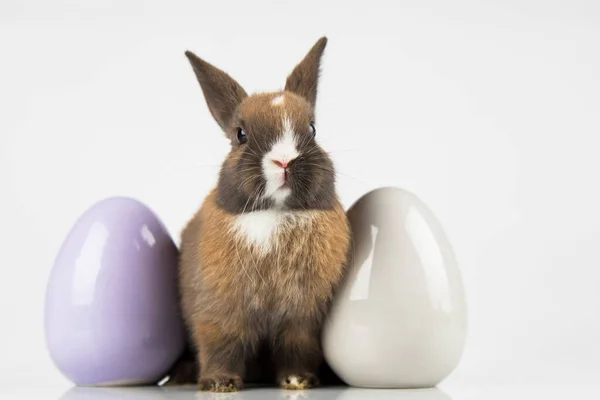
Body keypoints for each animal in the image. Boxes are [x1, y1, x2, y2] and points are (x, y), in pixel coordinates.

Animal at [177, 39, 352, 392]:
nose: (284, 161)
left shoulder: (302, 319)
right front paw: (220, 384)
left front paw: (298, 380)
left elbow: (296, 348)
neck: (276, 214)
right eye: (240, 134)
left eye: (312, 129)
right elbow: (221, 346)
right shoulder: (218, 314)